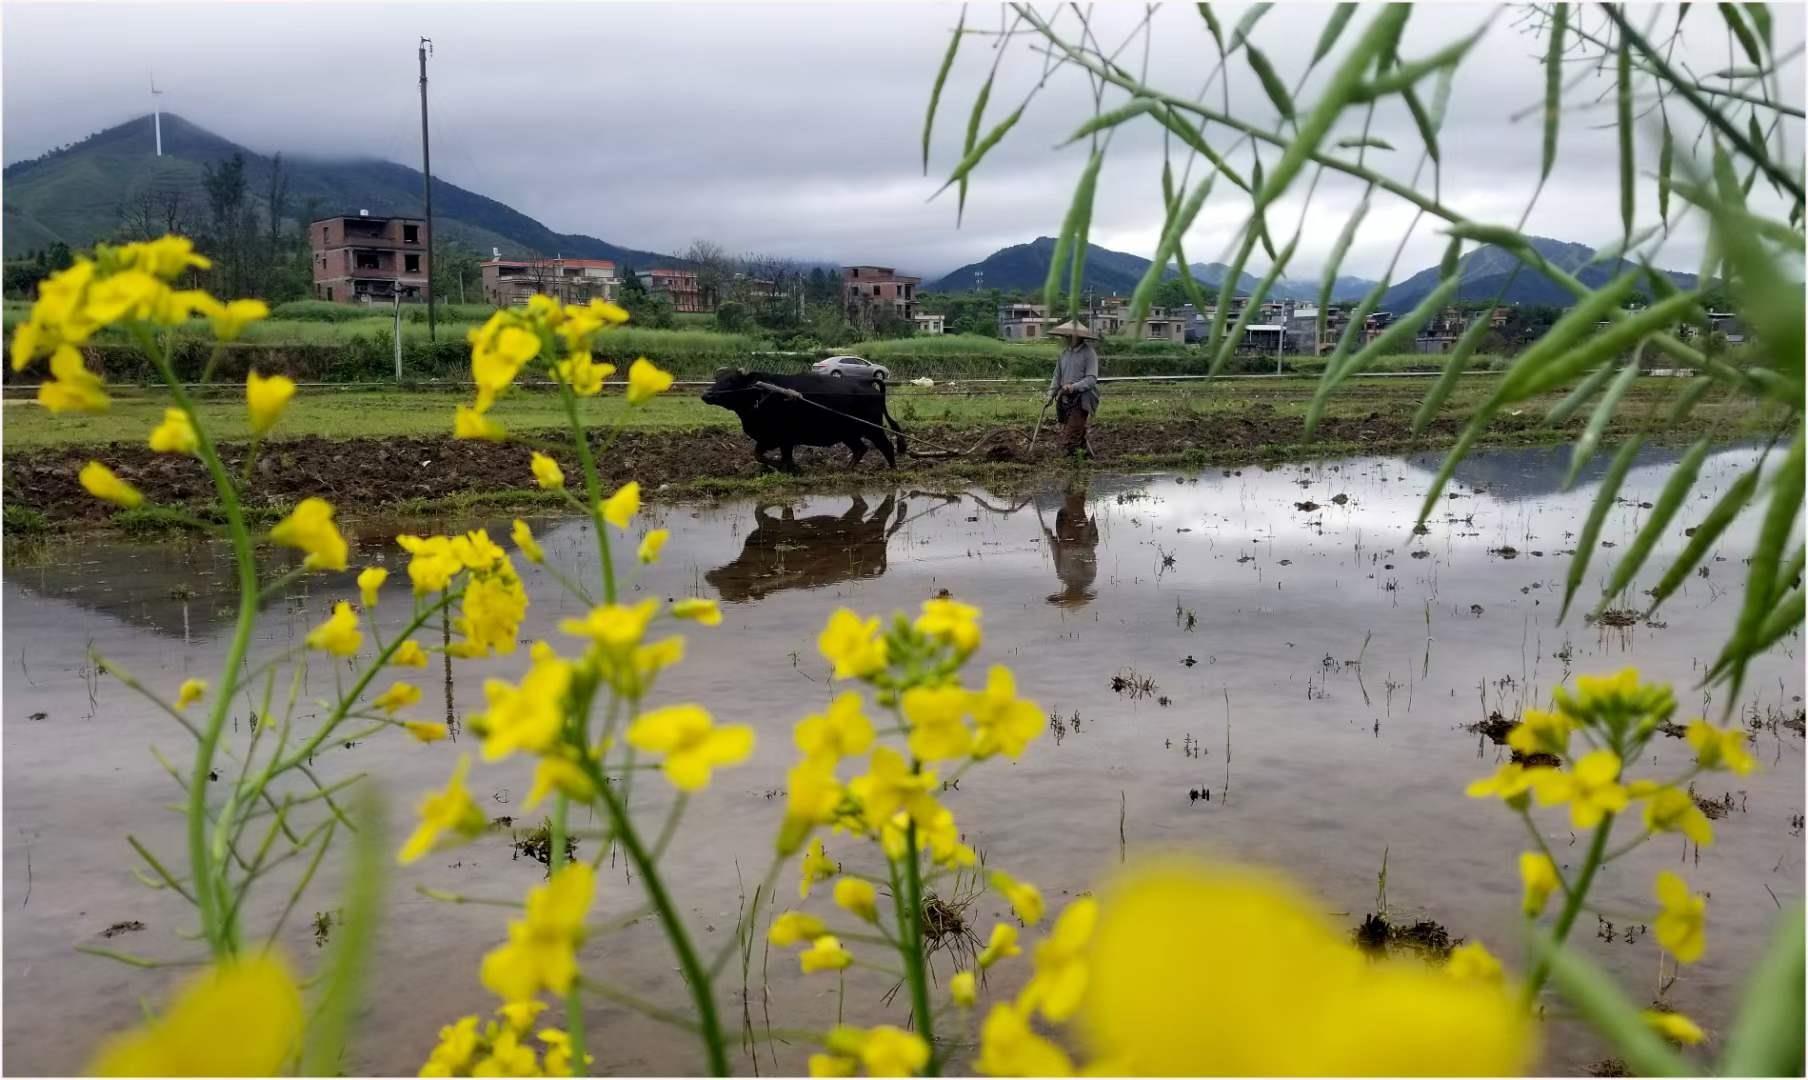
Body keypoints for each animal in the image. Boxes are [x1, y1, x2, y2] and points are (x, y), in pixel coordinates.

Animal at [701, 369, 904, 470]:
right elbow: (758, 455)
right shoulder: (769, 438)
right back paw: (846, 469)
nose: (706, 395)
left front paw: (790, 468)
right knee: (860, 449)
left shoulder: (782, 438)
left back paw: (893, 470)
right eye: (717, 379)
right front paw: (787, 468)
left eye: (730, 381)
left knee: (886, 446)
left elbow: (778, 458)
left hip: (873, 428)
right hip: (848, 433)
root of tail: (865, 383)